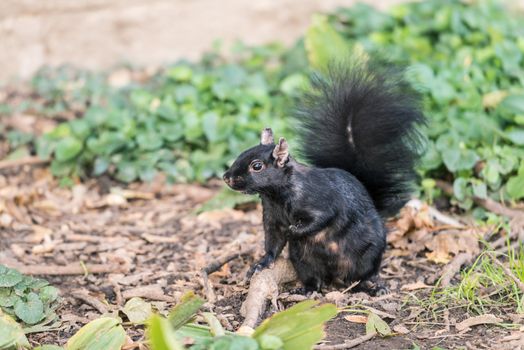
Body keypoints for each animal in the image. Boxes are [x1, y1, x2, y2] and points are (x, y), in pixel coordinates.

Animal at [222, 60, 426, 296]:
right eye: (241, 153)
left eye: (257, 166)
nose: (227, 177)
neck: (277, 195)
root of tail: (336, 274)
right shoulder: (272, 217)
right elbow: (273, 242)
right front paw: (261, 263)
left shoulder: (321, 200)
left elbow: (322, 218)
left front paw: (294, 231)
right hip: (303, 260)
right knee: (315, 280)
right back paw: (305, 289)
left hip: (368, 255)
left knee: (362, 276)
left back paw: (372, 288)